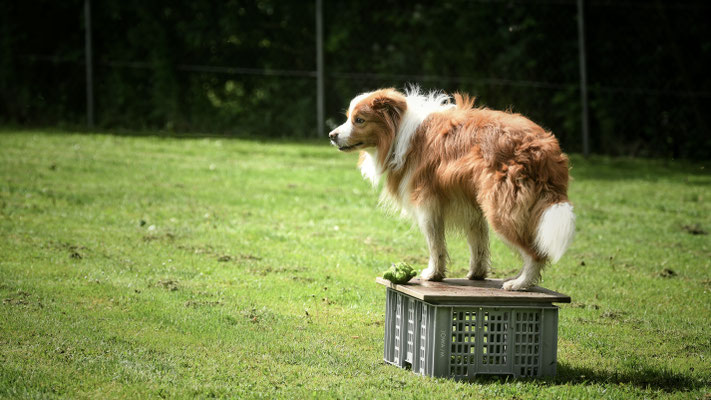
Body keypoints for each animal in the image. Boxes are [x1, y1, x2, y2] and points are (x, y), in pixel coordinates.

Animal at [328, 87, 575, 290]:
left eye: (359, 120)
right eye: (348, 118)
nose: (332, 135)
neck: (399, 131)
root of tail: (542, 149)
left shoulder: (427, 203)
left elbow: (435, 244)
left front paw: (433, 274)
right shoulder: (472, 206)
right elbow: (478, 243)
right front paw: (477, 274)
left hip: (501, 209)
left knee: (535, 253)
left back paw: (520, 283)